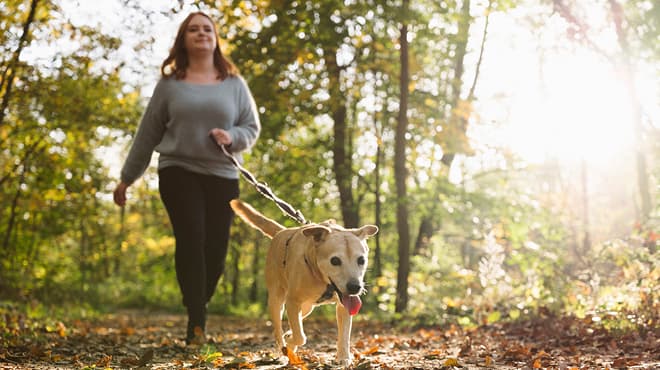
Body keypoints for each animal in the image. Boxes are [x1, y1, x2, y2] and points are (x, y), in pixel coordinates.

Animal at [231, 201, 376, 366]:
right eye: (335, 260)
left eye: (361, 260)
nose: (354, 287)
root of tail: (282, 231)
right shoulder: (292, 301)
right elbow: (300, 336)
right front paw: (290, 342)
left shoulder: (342, 306)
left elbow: (344, 335)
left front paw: (344, 357)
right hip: (277, 300)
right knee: (278, 329)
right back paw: (283, 349)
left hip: (307, 307)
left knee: (298, 319)